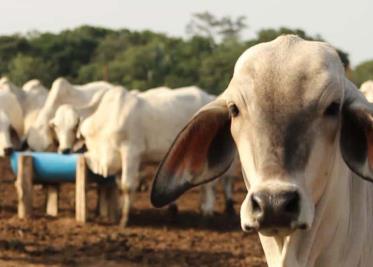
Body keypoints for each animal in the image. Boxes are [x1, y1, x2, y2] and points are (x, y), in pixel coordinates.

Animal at [80, 87, 235, 227]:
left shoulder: (131, 152)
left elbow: (127, 186)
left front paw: (124, 219)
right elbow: (120, 186)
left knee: (210, 185)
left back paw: (207, 214)